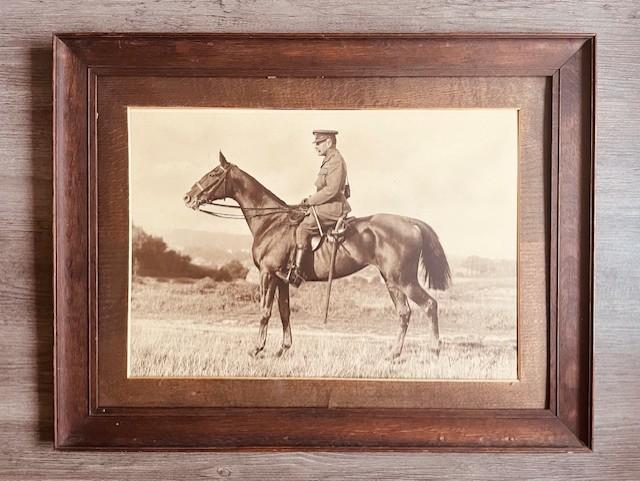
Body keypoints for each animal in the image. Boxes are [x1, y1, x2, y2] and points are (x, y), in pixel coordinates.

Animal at [180, 152, 450, 358]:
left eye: (213, 174)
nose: (187, 197)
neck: (271, 222)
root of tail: (409, 222)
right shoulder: (281, 279)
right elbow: (284, 312)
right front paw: (283, 349)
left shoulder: (268, 275)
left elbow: (265, 312)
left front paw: (257, 349)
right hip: (391, 281)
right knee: (404, 313)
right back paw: (393, 354)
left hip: (404, 280)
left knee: (429, 305)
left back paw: (433, 350)